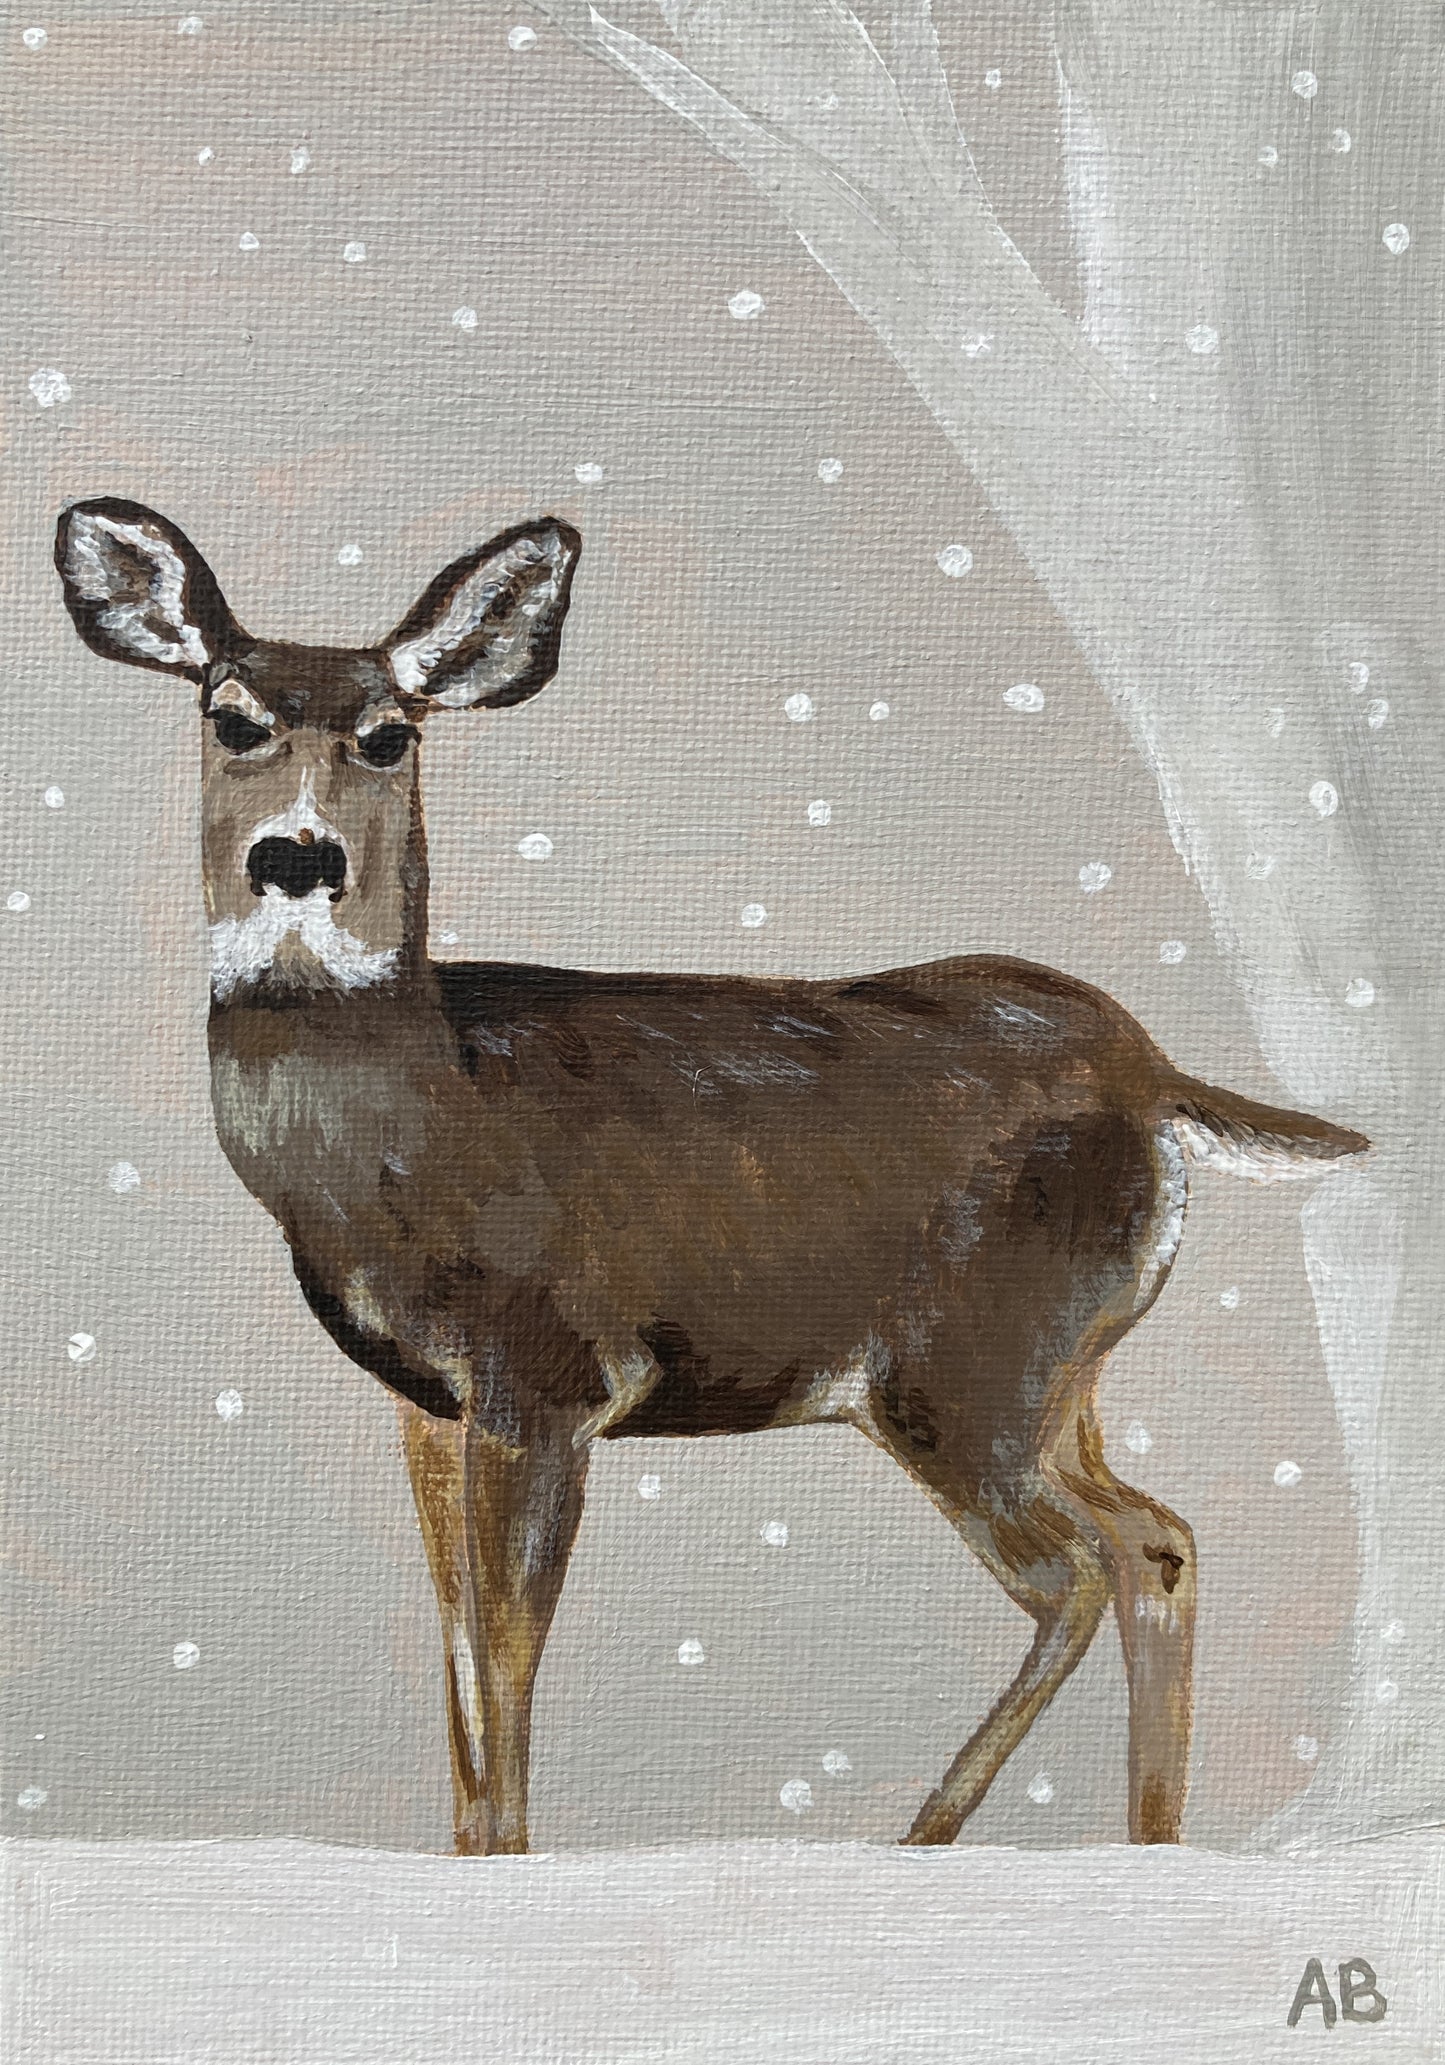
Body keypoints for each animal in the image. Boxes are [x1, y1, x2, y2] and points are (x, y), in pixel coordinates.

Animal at [54, 495, 1368, 1857]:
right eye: (229, 717)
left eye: (388, 734)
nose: (297, 858)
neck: (416, 1120)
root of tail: (1150, 1074)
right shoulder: (430, 1402)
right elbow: (460, 1660)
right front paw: (470, 1860)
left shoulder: (554, 1368)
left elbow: (509, 1652)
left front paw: (515, 1862)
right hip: (1062, 1372)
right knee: (1154, 1537)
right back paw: (1141, 1840)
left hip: (962, 1367)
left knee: (1078, 1567)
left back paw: (926, 1836)